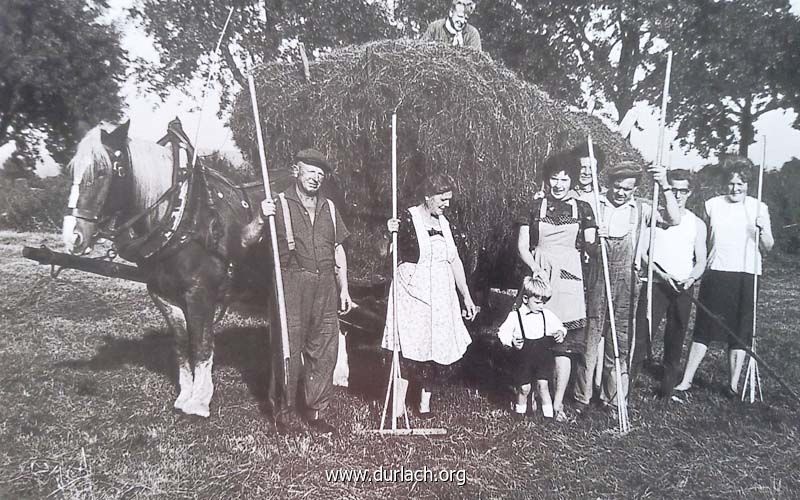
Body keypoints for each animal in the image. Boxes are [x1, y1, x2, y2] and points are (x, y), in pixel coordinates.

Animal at [61, 121, 296, 418]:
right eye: (72, 170)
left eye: (102, 171)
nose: (72, 236)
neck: (184, 216)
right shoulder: (163, 295)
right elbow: (183, 344)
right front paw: (185, 395)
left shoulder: (200, 293)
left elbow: (201, 344)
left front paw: (200, 400)